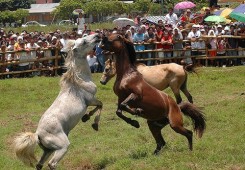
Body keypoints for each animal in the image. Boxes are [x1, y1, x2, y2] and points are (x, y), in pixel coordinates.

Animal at [12, 33, 102, 169]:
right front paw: (93, 123)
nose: (97, 36)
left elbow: (98, 107)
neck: (79, 79)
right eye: (84, 42)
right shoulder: (90, 100)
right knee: (52, 164)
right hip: (62, 147)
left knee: (39, 165)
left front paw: (86, 118)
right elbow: (100, 105)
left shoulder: (91, 101)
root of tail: (38, 135)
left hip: (48, 150)